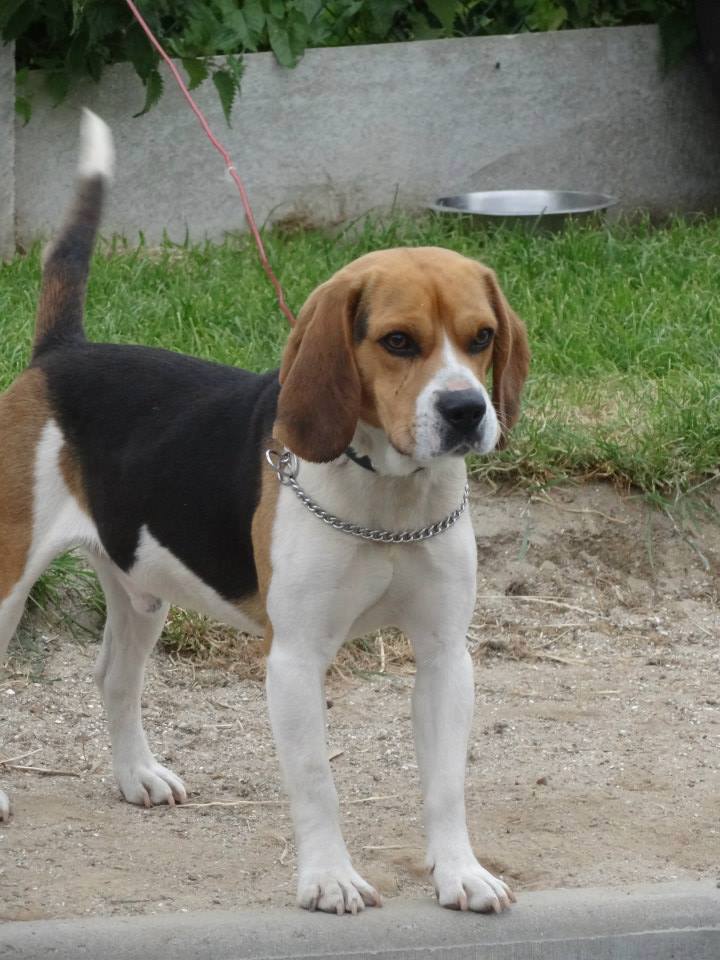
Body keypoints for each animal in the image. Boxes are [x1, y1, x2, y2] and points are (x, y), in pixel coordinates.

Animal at [0, 112, 528, 916]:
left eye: (482, 338)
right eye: (398, 341)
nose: (467, 410)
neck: (386, 499)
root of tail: (62, 355)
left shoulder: (445, 656)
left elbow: (446, 783)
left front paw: (459, 872)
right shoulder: (295, 659)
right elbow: (317, 783)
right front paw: (329, 878)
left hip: (141, 587)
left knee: (114, 679)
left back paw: (136, 776)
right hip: (6, 579)